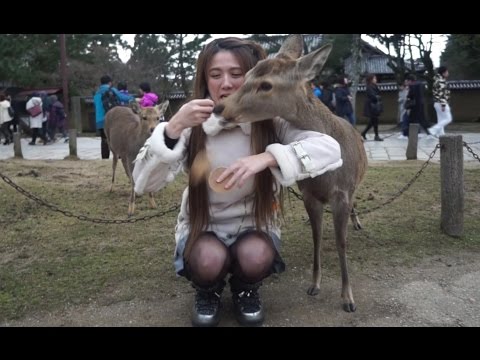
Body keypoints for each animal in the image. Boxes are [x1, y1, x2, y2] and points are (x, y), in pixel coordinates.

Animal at [214, 35, 368, 314]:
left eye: (266, 84)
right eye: (247, 74)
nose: (220, 108)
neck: (326, 177)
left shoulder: (342, 193)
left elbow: (341, 242)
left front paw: (348, 299)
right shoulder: (309, 194)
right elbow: (317, 237)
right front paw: (314, 285)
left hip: (357, 182)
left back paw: (357, 222)